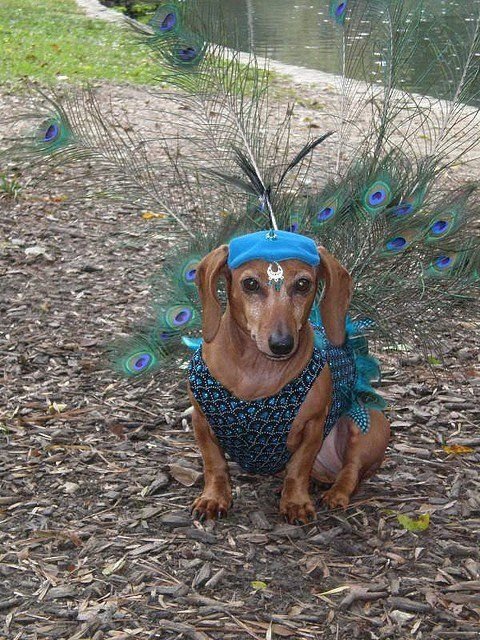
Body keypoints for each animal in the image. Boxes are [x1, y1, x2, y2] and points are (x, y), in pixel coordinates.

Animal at [188, 242, 390, 524]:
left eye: (303, 284)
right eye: (250, 284)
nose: (282, 344)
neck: (256, 370)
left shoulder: (314, 426)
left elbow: (298, 467)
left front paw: (295, 502)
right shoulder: (201, 421)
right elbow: (214, 464)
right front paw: (214, 498)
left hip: (368, 424)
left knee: (351, 470)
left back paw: (335, 493)